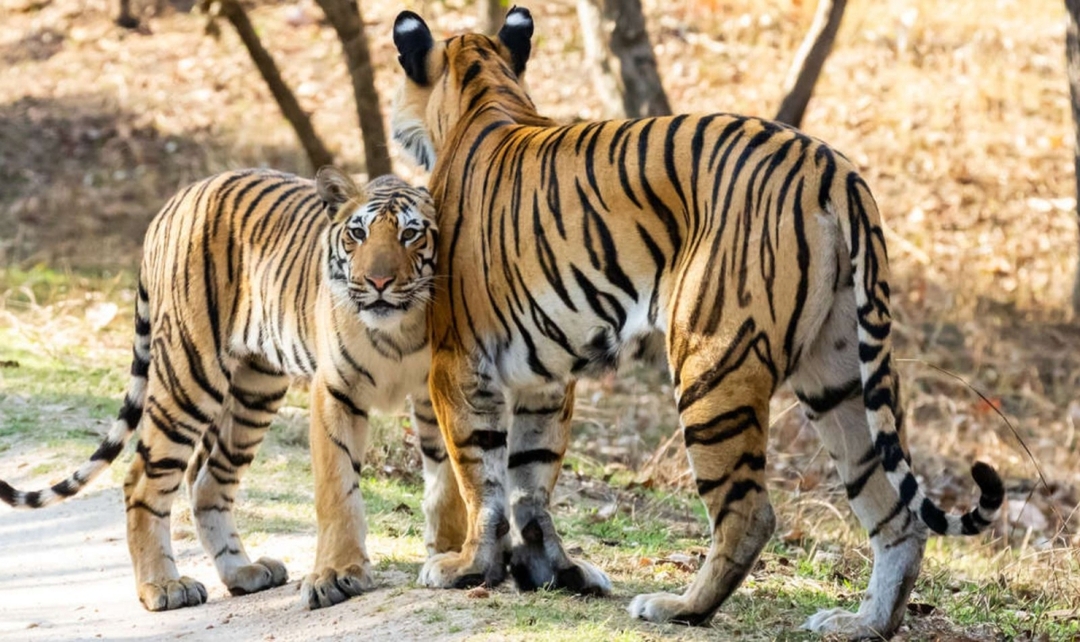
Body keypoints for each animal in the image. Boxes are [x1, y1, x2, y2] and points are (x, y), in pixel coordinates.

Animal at [0, 168, 466, 612]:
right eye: (358, 234)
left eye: (410, 234)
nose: (378, 281)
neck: (399, 329)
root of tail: (172, 204)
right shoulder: (336, 392)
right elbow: (338, 488)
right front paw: (336, 574)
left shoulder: (436, 390)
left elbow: (449, 479)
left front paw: (448, 555)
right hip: (188, 376)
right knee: (143, 480)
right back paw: (163, 586)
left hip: (254, 391)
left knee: (205, 478)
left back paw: (242, 572)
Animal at [388, 7, 1004, 639]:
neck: (486, 91)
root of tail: (833, 169)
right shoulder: (545, 377)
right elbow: (529, 480)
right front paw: (554, 572)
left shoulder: (457, 362)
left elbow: (481, 476)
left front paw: (465, 567)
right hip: (839, 375)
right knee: (898, 514)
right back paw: (861, 623)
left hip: (711, 363)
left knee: (750, 513)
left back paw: (680, 607)